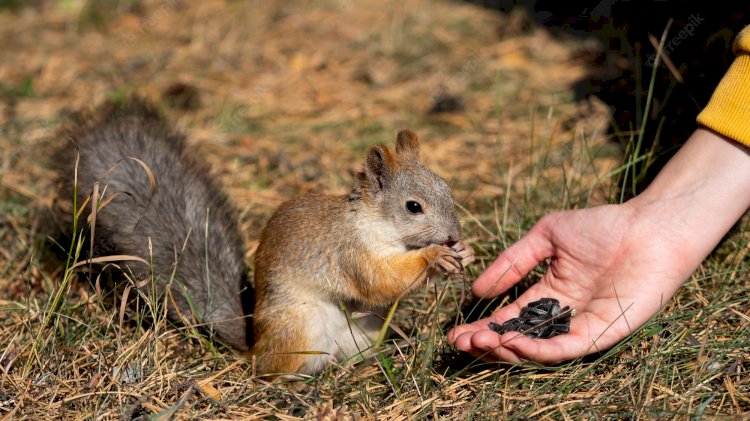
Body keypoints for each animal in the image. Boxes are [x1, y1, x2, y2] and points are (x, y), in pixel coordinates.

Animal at [57, 97, 476, 374]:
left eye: (446, 188)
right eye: (413, 207)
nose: (453, 234)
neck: (380, 226)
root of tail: (254, 346)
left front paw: (465, 252)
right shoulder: (349, 251)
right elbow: (379, 281)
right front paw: (434, 256)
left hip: (364, 330)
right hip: (299, 327)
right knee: (274, 372)